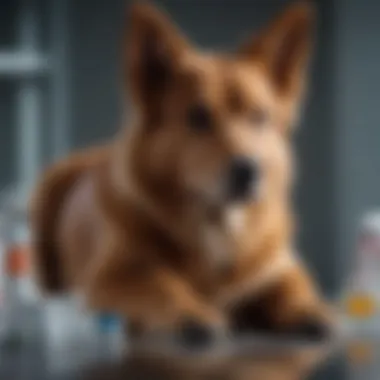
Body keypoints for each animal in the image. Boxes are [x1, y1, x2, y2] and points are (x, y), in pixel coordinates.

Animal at [29, 1, 336, 348]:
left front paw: (306, 309)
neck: (217, 228)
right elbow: (161, 284)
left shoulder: (280, 268)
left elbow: (290, 288)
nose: (249, 170)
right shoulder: (110, 279)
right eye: (198, 117)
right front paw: (190, 312)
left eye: (260, 116)